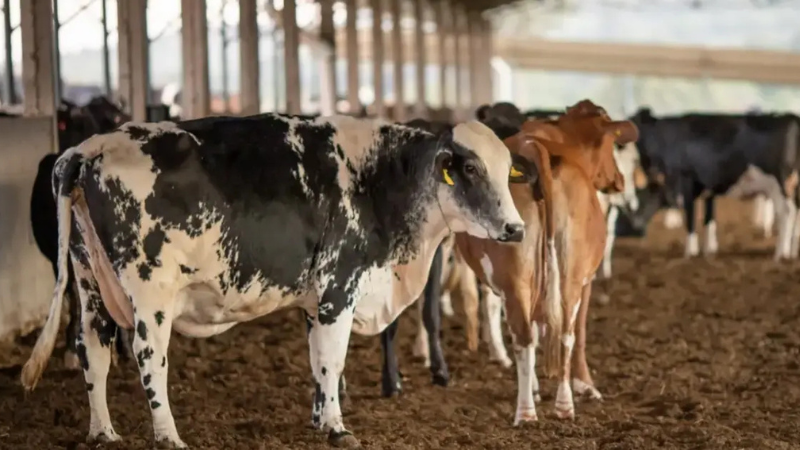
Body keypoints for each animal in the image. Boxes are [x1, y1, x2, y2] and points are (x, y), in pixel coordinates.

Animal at [456, 100, 638, 424]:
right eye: (610, 145)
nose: (618, 180)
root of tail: (534, 149)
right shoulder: (586, 281)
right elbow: (579, 333)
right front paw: (586, 385)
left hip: (523, 279)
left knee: (538, 334)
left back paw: (547, 407)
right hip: (564, 277)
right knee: (556, 333)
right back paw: (539, 408)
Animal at [630, 108, 800, 259]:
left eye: (640, 196)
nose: (635, 222)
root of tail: (790, 117)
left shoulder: (686, 182)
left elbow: (690, 218)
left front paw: (690, 253)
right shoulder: (708, 189)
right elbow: (709, 218)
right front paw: (709, 251)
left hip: (781, 182)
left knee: (786, 212)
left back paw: (781, 254)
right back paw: (792, 253)